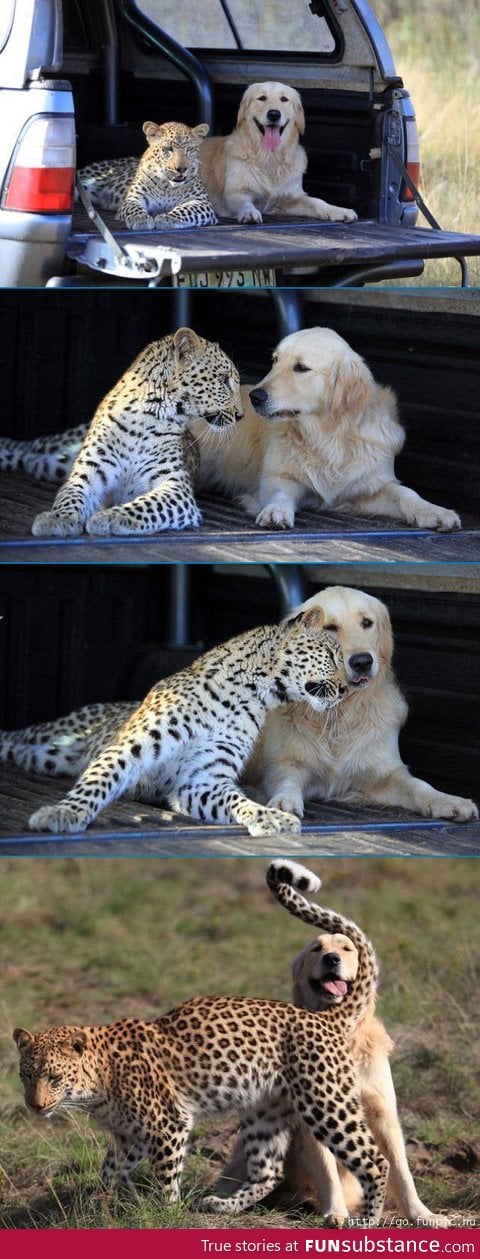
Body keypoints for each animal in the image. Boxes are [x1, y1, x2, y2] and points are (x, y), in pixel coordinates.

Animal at [0, 611, 345, 835]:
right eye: (331, 655)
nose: (345, 689)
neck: (248, 693)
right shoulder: (129, 749)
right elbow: (98, 782)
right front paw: (64, 813)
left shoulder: (200, 780)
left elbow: (235, 800)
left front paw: (269, 817)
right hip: (50, 735)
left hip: (43, 757)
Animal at [28, 324, 240, 536]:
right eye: (224, 380)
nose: (240, 415)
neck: (146, 419)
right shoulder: (89, 470)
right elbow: (71, 493)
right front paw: (57, 518)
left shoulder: (175, 486)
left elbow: (148, 505)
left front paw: (109, 518)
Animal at [77, 120, 215, 231]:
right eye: (168, 148)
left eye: (189, 149)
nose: (181, 169)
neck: (167, 187)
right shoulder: (133, 199)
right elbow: (134, 209)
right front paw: (141, 219)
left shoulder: (201, 203)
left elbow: (186, 211)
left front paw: (166, 218)